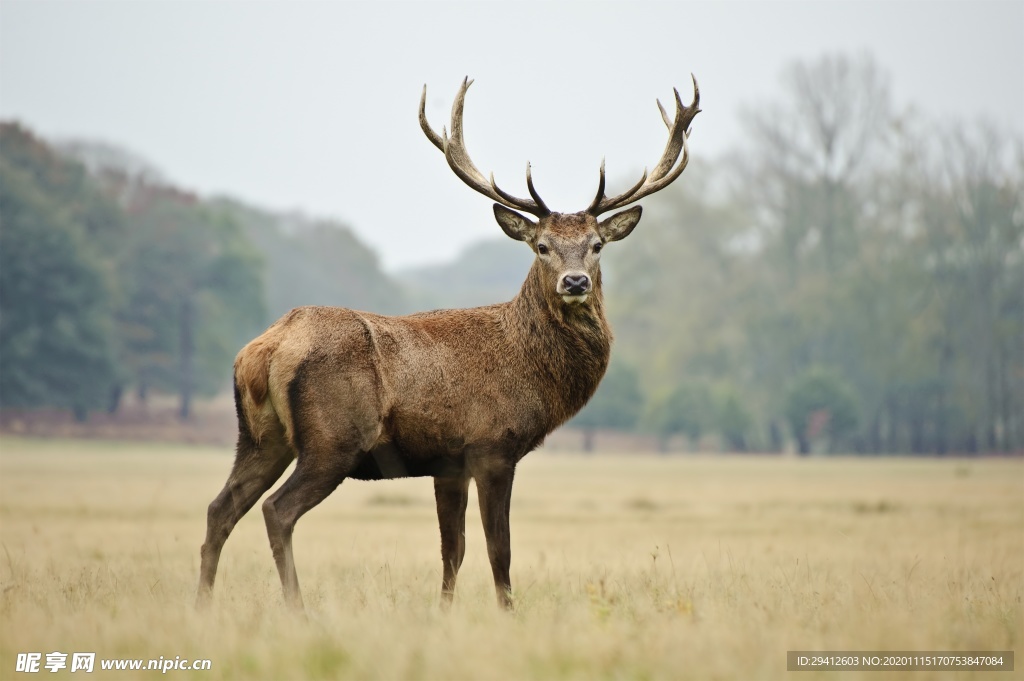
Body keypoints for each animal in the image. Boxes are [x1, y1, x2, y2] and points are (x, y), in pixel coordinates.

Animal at [195, 75, 700, 610]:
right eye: (541, 246)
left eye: (597, 245)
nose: (576, 281)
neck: (531, 370)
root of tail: (265, 349)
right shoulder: (492, 445)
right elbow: (499, 549)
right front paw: (507, 612)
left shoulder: (448, 463)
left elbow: (451, 550)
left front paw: (444, 612)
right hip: (333, 438)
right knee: (277, 510)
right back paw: (297, 609)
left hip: (260, 436)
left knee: (220, 508)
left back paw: (202, 605)